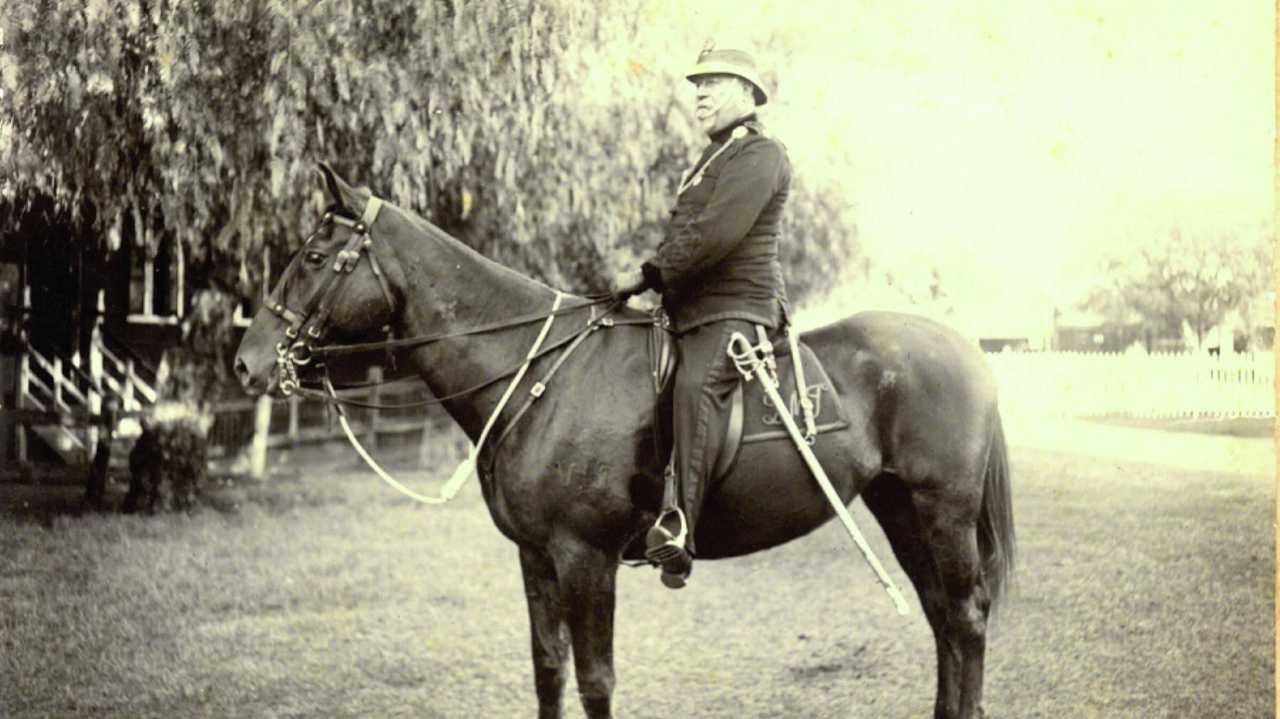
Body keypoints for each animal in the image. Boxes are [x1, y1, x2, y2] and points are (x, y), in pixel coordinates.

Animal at [227, 163, 1008, 716]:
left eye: (314, 254)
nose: (247, 362)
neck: (539, 373)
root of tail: (963, 347)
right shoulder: (537, 557)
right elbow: (549, 671)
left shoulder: (585, 558)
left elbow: (595, 680)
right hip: (898, 508)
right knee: (943, 617)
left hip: (942, 512)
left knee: (966, 618)